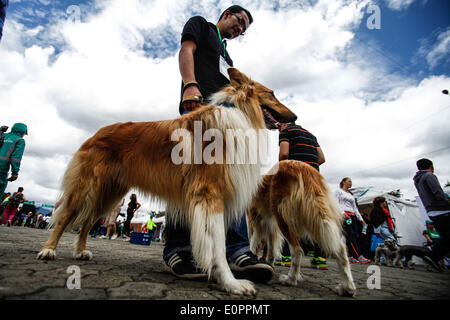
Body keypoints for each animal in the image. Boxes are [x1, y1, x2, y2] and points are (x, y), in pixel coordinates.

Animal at [37, 69, 298, 296]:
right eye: (272, 93)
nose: (295, 117)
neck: (240, 112)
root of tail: (97, 132)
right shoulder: (210, 195)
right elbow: (217, 246)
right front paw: (231, 283)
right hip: (87, 189)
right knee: (65, 217)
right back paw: (48, 250)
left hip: (109, 194)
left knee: (87, 223)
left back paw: (80, 251)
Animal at [248, 160, 356, 298]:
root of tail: (302, 166)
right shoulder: (270, 226)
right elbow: (271, 250)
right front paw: (268, 265)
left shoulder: (256, 222)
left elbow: (253, 244)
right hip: (317, 217)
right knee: (341, 249)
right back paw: (347, 287)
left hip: (283, 217)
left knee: (297, 250)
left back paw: (290, 279)